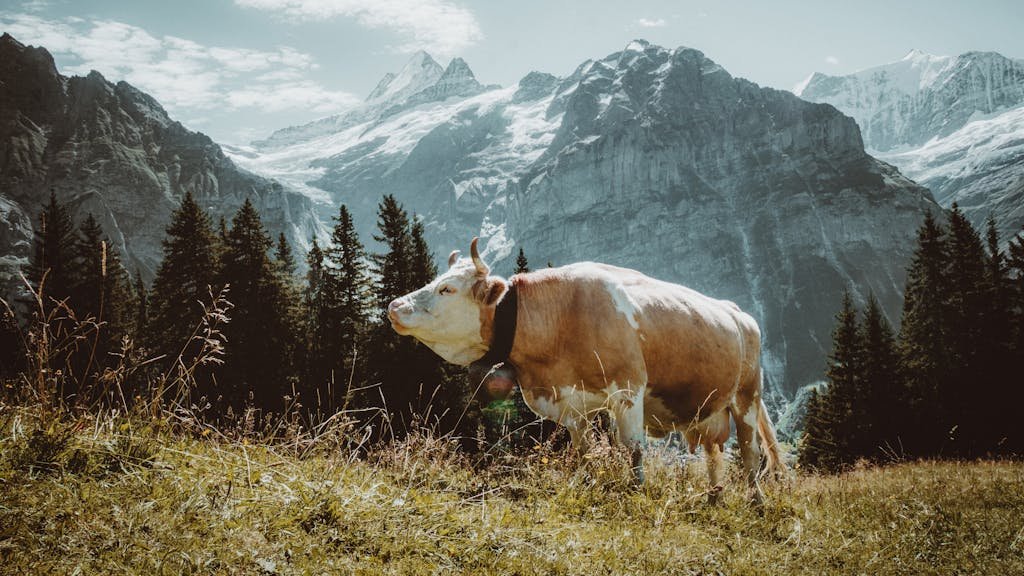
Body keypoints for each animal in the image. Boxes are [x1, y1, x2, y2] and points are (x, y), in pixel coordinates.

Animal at [388, 238, 784, 504]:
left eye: (447, 288)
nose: (394, 306)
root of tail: (739, 313)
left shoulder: (628, 388)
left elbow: (633, 446)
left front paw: (637, 488)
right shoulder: (571, 403)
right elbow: (580, 449)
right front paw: (582, 482)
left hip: (747, 398)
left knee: (750, 453)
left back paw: (756, 501)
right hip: (708, 412)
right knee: (714, 455)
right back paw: (714, 497)